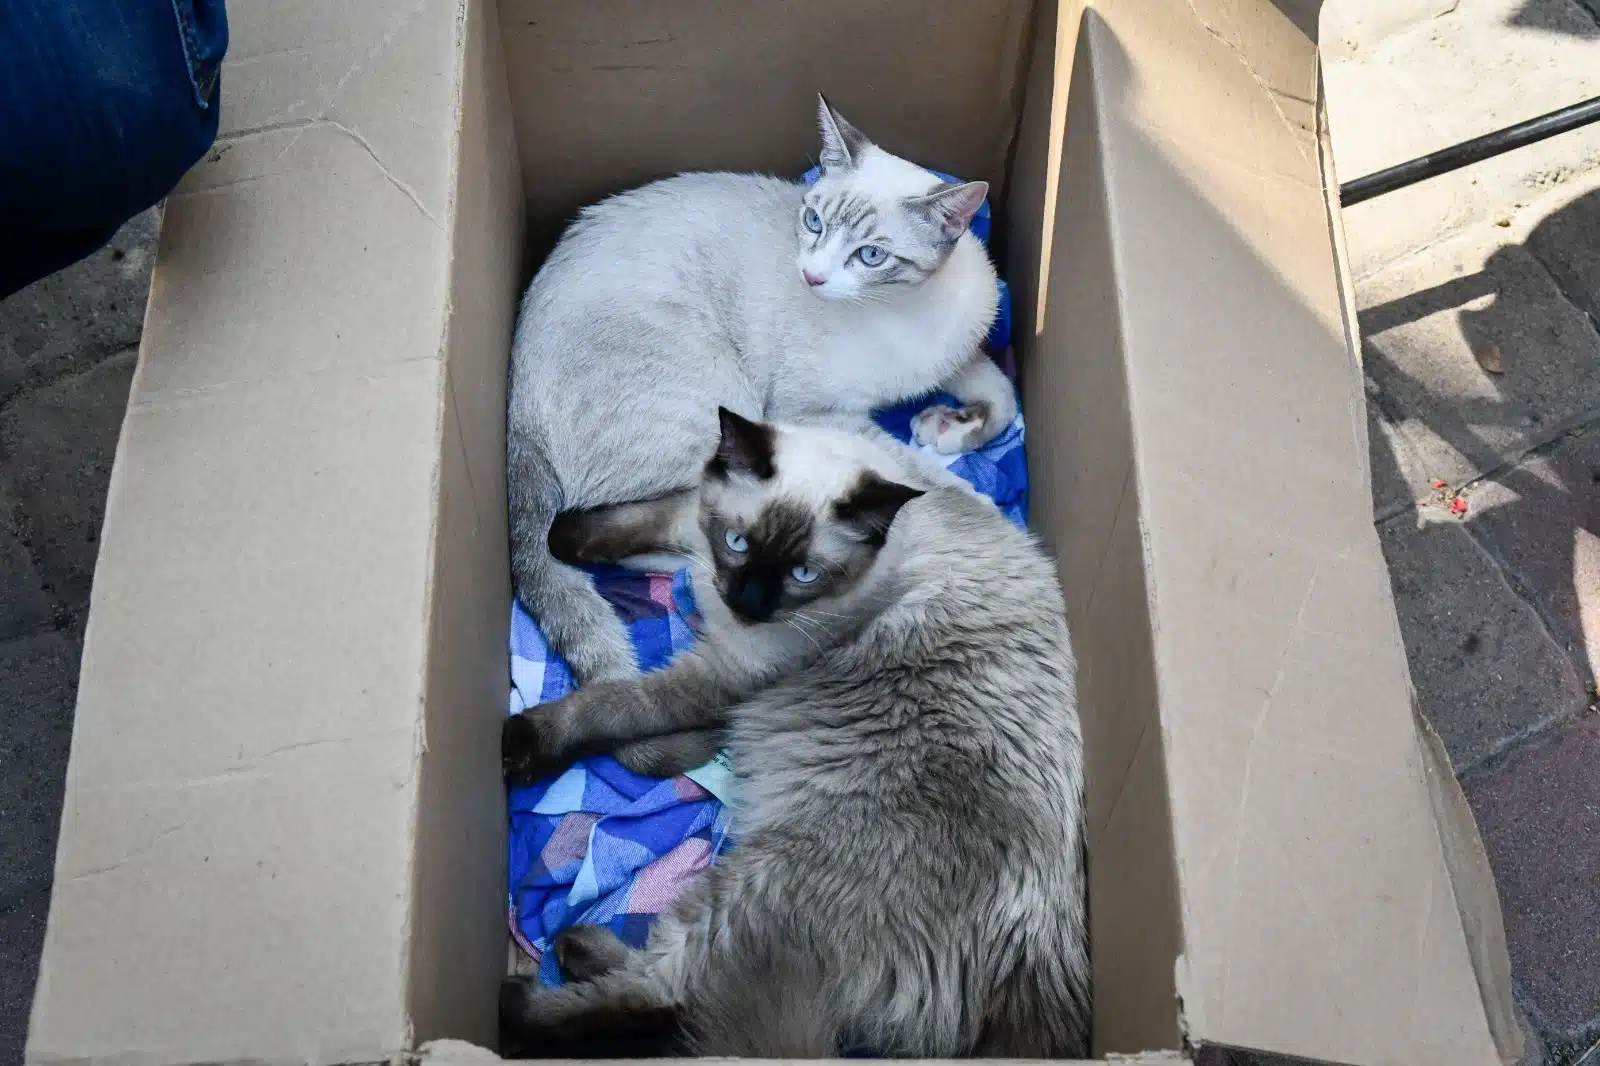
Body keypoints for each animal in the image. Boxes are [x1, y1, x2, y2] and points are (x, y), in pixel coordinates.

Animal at [512, 97, 1011, 681]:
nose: (812, 276)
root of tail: (515, 395)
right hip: (717, 417)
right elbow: (921, 474)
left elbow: (1002, 398)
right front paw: (975, 497)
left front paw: (949, 427)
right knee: (658, 527)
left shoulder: (957, 356)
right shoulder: (819, 415)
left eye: (870, 255)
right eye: (813, 221)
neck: (909, 309)